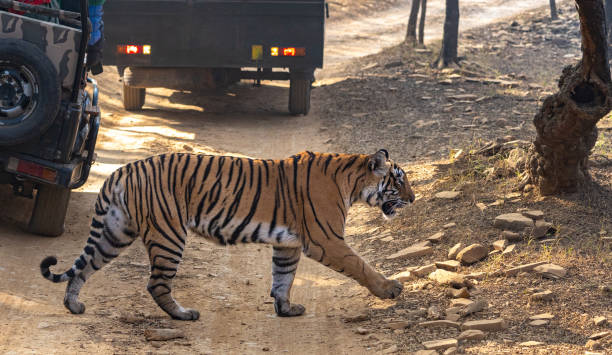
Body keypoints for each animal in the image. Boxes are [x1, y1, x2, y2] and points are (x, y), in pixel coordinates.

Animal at [39, 149, 416, 322]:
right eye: (399, 181)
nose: (413, 199)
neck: (351, 181)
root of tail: (121, 171)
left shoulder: (288, 244)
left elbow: (283, 278)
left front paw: (286, 309)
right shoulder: (326, 241)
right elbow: (361, 266)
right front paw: (390, 289)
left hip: (115, 232)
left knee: (84, 267)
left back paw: (73, 305)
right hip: (168, 235)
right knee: (156, 284)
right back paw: (183, 315)